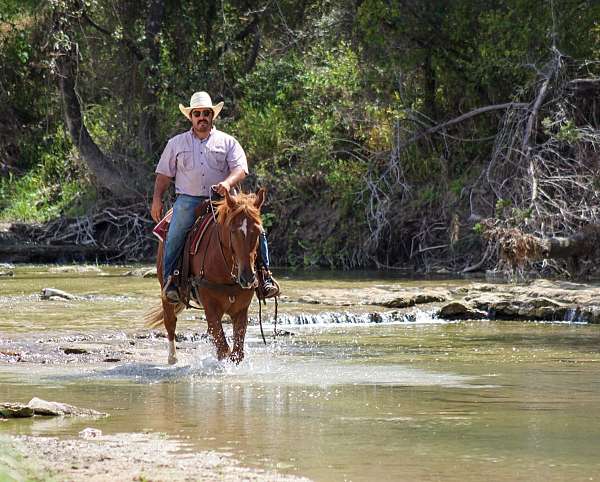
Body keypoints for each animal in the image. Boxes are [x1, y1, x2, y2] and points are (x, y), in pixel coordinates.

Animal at [144, 190, 264, 364]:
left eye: (259, 231)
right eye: (233, 230)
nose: (247, 277)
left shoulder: (241, 310)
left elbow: (236, 353)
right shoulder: (211, 308)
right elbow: (223, 349)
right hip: (165, 289)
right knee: (170, 322)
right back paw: (172, 358)